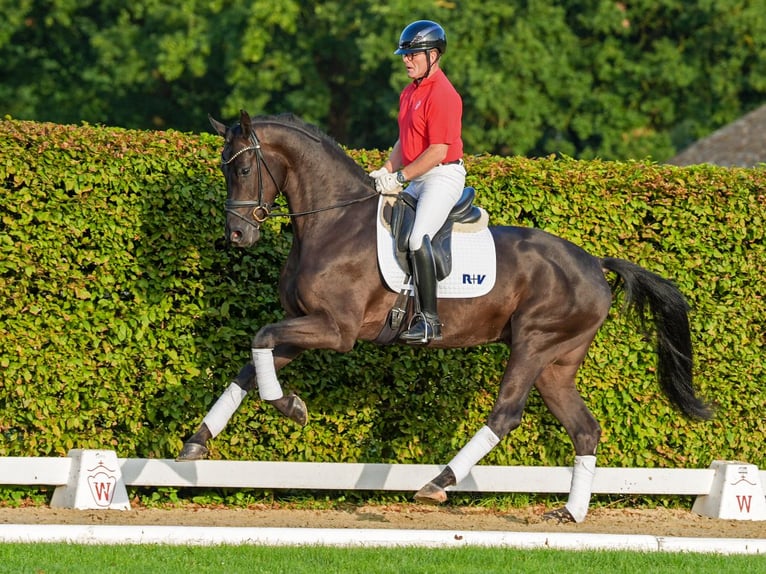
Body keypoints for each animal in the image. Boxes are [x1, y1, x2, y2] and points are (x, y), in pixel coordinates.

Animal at [180, 109, 712, 528]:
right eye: (224, 170)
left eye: (243, 167)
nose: (237, 235)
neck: (333, 222)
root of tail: (594, 264)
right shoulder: (304, 324)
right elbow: (252, 363)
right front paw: (197, 443)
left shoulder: (336, 329)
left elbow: (260, 339)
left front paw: (291, 406)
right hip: (557, 363)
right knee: (585, 428)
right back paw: (570, 513)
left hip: (534, 343)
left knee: (506, 413)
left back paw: (438, 482)